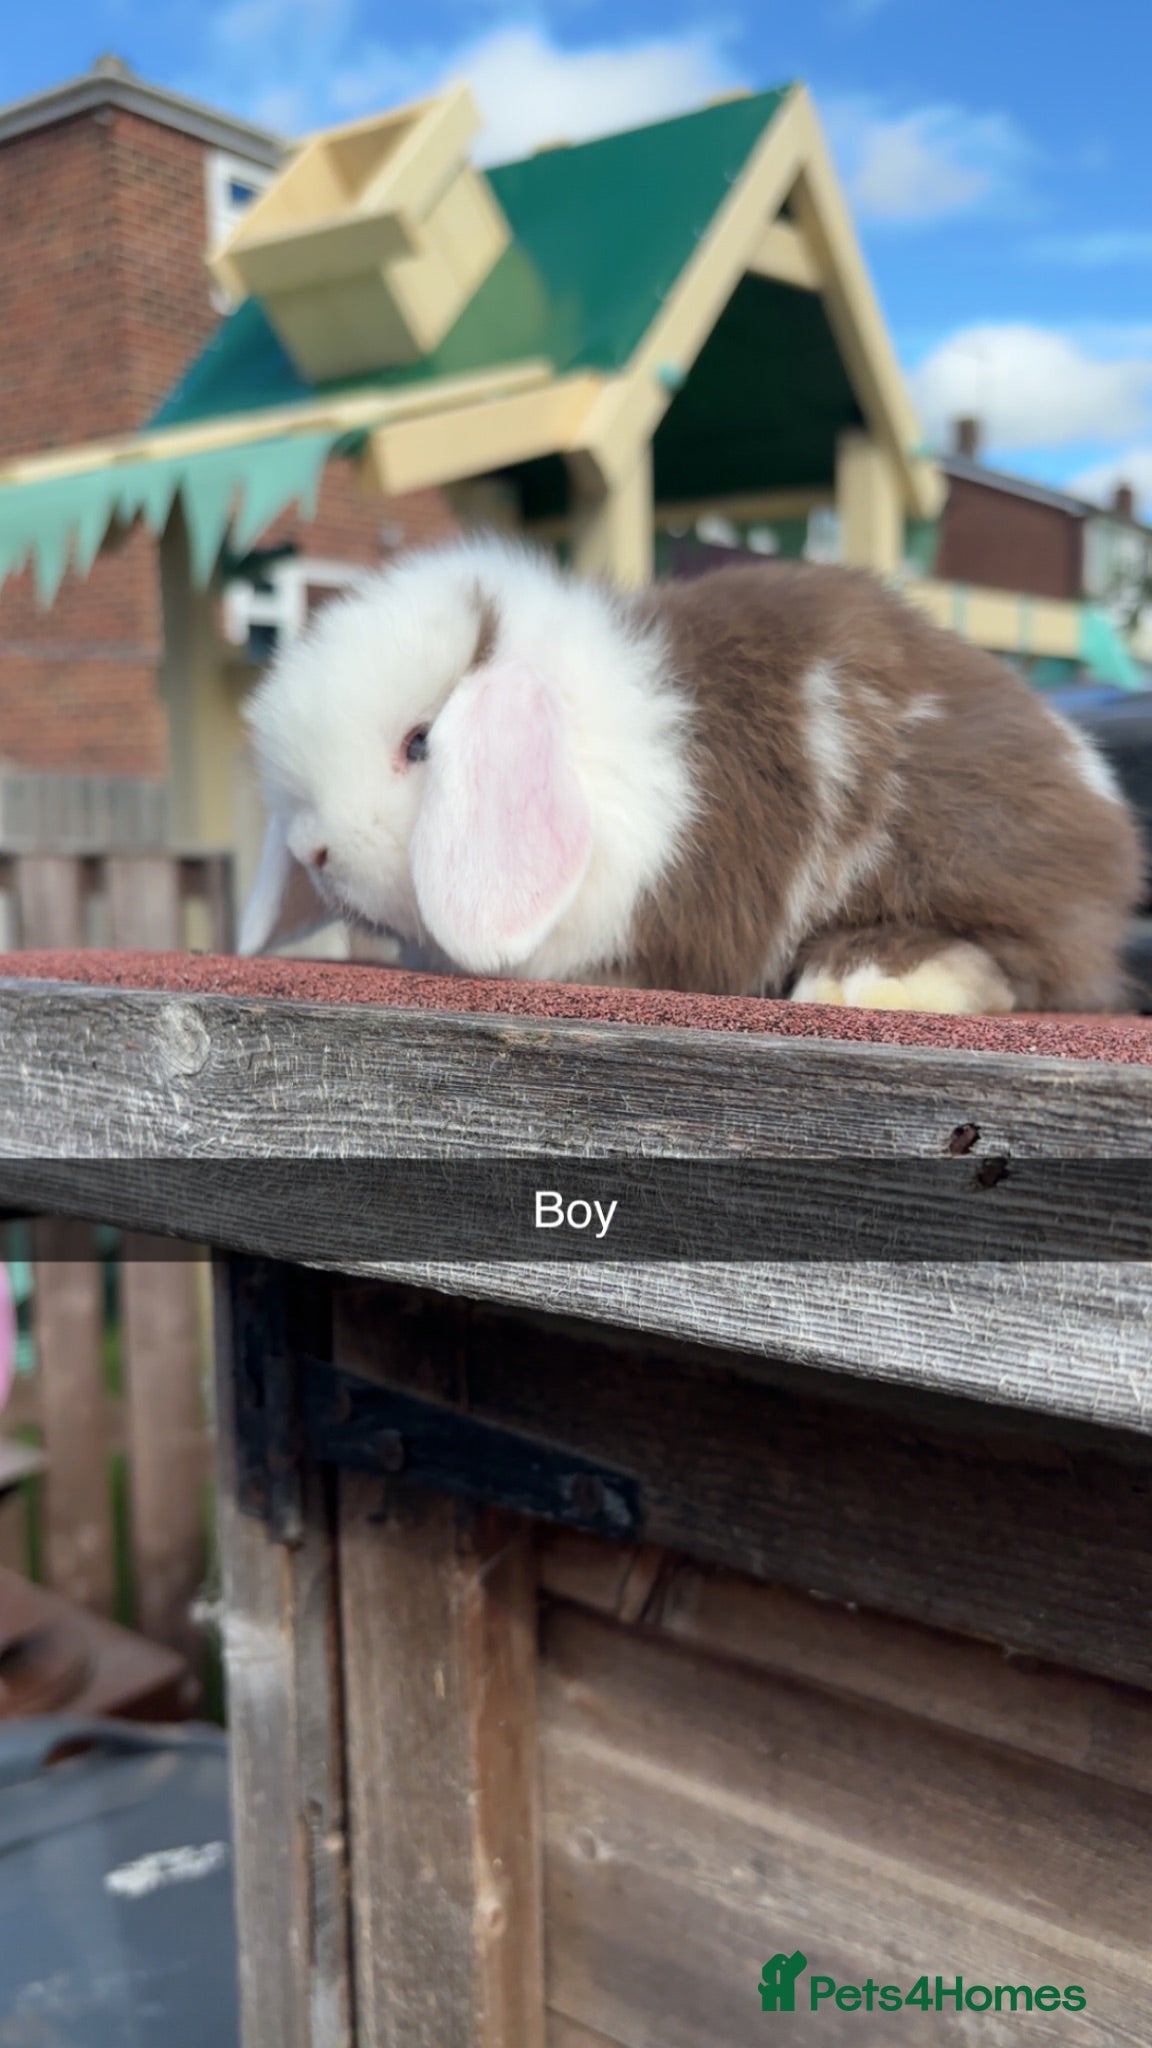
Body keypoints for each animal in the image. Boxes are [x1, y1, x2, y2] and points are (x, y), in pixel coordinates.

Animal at [238, 533, 1147, 1014]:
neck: (589, 739)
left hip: (964, 859)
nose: (317, 854)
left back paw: (860, 982)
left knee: (1024, 966)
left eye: (420, 744)